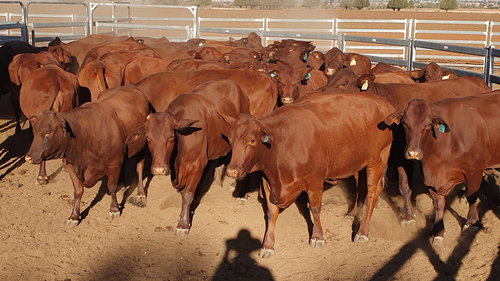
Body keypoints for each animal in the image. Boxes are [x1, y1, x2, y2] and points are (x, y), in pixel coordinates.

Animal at [25, 85, 149, 225]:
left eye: (48, 133)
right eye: (35, 131)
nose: (28, 158)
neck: (85, 135)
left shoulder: (113, 164)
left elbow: (111, 187)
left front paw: (114, 209)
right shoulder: (72, 166)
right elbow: (78, 192)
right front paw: (74, 216)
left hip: (142, 147)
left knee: (139, 167)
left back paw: (140, 192)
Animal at [125, 79, 250, 234]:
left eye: (171, 137)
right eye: (148, 138)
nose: (159, 170)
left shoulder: (197, 164)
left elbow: (187, 194)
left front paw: (183, 223)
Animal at [223, 92, 394, 256]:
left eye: (252, 140)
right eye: (230, 140)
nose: (232, 170)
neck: (280, 145)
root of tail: (383, 102)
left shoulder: (315, 179)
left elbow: (315, 208)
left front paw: (317, 237)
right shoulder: (268, 181)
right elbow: (271, 212)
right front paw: (267, 245)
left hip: (377, 160)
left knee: (372, 193)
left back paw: (362, 232)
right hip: (356, 163)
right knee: (361, 189)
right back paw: (351, 214)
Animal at [386, 92, 500, 243]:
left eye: (428, 124)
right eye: (405, 123)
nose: (413, 153)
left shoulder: (474, 172)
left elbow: (471, 197)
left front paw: (472, 222)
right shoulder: (431, 178)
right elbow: (438, 204)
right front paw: (438, 231)